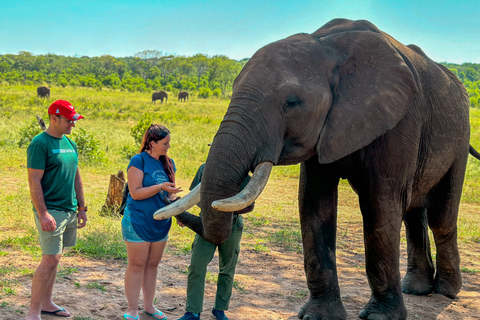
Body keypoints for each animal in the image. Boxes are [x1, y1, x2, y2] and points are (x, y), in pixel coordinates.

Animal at [155, 19, 480, 320]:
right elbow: (314, 203)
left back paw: (446, 291)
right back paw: (416, 289)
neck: (326, 46)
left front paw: (379, 317)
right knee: (415, 211)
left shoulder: (400, 119)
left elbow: (381, 204)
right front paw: (318, 315)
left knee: (441, 215)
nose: (171, 196)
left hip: (459, 134)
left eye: (291, 102)